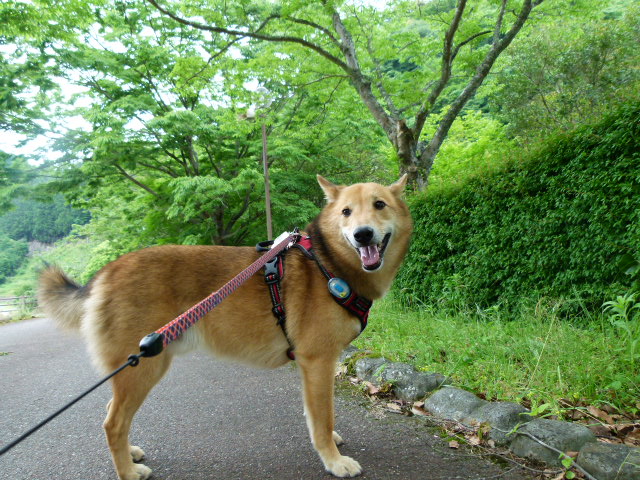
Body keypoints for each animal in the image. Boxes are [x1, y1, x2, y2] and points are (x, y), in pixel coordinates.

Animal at [37, 174, 412, 478]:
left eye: (379, 204)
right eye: (346, 212)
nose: (363, 235)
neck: (327, 261)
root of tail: (105, 273)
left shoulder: (313, 367)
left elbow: (315, 415)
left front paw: (328, 443)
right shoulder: (318, 360)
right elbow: (323, 417)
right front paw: (333, 461)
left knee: (111, 415)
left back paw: (129, 455)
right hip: (143, 367)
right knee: (113, 423)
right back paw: (127, 472)